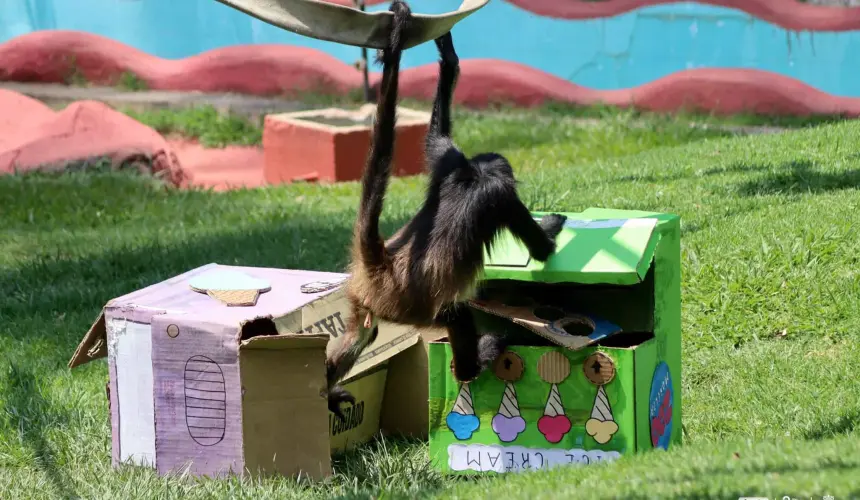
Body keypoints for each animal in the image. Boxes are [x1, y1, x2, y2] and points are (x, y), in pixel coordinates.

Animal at [326, 0, 568, 420]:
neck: (473, 174)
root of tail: (382, 264)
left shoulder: (449, 159)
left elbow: (437, 133)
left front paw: (448, 52)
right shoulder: (500, 193)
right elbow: (540, 249)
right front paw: (551, 228)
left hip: (364, 300)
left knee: (363, 333)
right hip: (415, 309)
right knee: (456, 314)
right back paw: (473, 365)